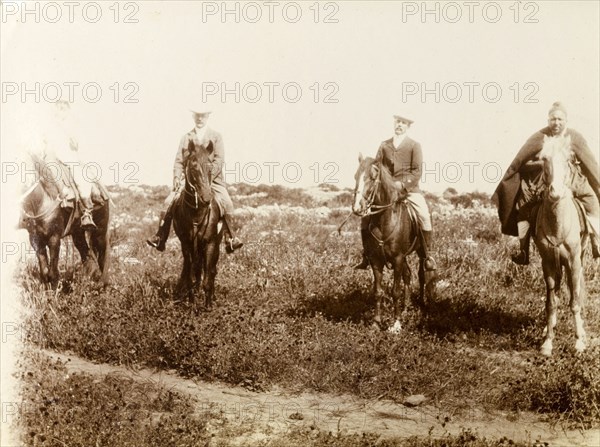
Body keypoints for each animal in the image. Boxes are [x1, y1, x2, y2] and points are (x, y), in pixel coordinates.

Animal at [20, 155, 111, 288]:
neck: (42, 199)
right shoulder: (35, 240)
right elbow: (44, 273)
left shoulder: (54, 238)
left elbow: (52, 273)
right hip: (78, 233)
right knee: (86, 253)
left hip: (100, 231)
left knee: (102, 255)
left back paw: (103, 284)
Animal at [171, 144, 223, 308]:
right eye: (193, 167)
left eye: (210, 167)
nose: (206, 198)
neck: (196, 214)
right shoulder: (186, 244)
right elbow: (190, 275)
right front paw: (191, 301)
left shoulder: (211, 243)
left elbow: (209, 275)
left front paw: (208, 305)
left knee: (211, 270)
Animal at [352, 155, 436, 332]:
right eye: (356, 177)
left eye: (372, 177)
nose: (357, 208)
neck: (384, 220)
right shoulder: (376, 260)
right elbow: (378, 291)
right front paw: (376, 323)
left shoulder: (397, 258)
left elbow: (395, 291)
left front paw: (396, 324)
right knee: (408, 275)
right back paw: (405, 308)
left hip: (420, 252)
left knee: (421, 275)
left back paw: (421, 303)